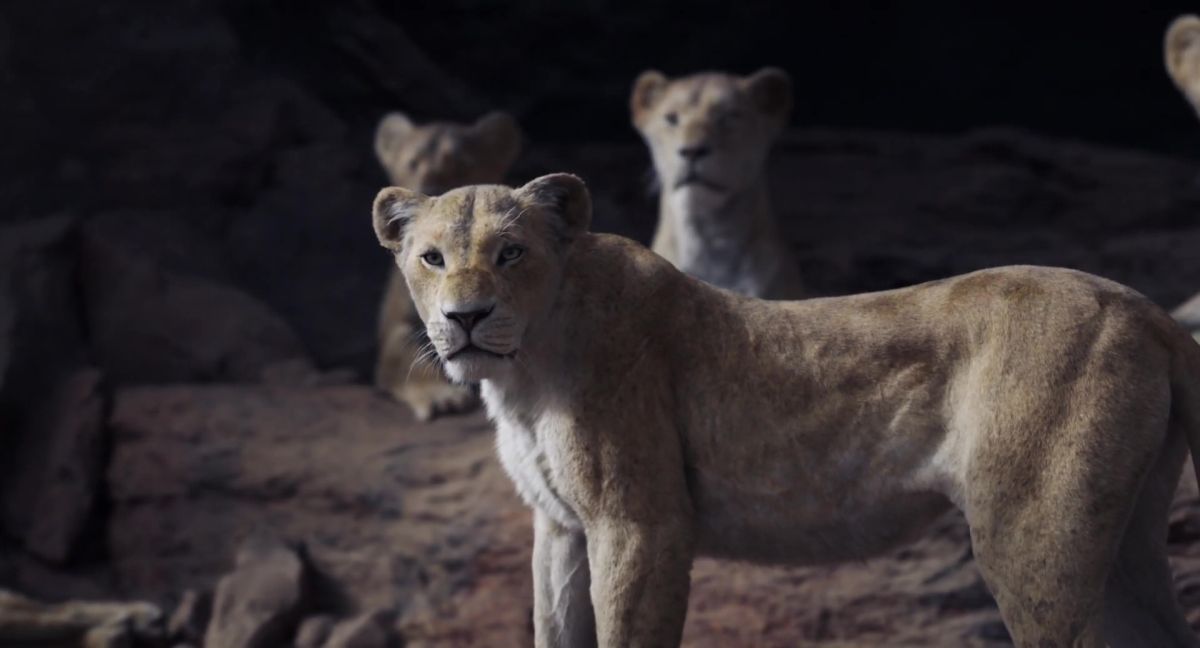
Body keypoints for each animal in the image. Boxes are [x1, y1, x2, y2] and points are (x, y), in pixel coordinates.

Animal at [372, 110, 521, 420]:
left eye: (463, 165)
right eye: (413, 163)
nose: (432, 190)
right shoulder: (396, 329)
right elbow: (407, 356)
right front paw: (441, 396)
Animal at [372, 173, 1200, 647]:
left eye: (510, 253)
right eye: (432, 258)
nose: (466, 318)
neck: (526, 372)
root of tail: (1151, 311)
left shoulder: (641, 522)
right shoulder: (561, 527)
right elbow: (555, 629)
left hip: (1032, 534)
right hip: (1121, 539)